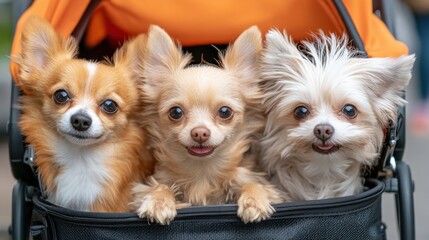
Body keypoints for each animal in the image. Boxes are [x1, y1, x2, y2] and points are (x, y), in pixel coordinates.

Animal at [132, 25, 282, 224]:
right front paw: (158, 201)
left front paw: (255, 199)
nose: (200, 133)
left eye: (225, 112)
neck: (202, 171)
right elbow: (160, 186)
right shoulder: (154, 182)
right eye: (175, 112)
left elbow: (252, 183)